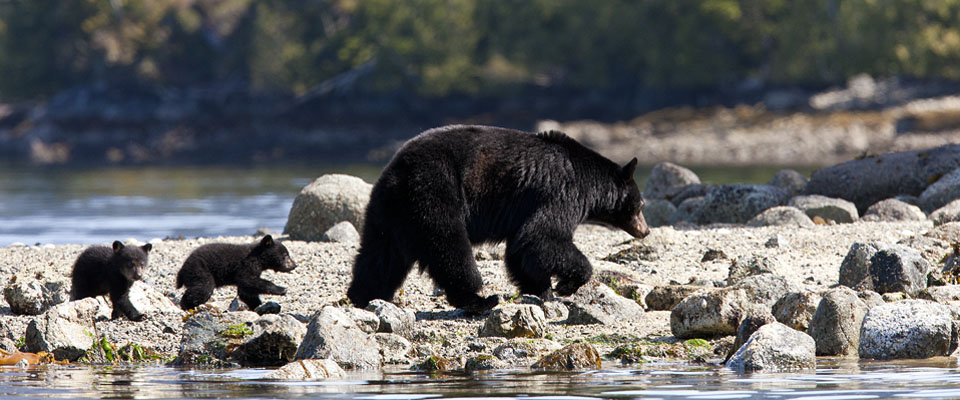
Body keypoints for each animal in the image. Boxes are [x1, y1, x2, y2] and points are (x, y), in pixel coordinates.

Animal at [346, 125, 652, 312]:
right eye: (641, 204)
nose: (646, 231)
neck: (589, 180)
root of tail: (396, 172)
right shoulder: (560, 192)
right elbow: (541, 239)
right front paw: (566, 284)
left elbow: (520, 249)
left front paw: (542, 291)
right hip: (434, 191)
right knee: (450, 247)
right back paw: (479, 299)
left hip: (388, 211)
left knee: (380, 255)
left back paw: (363, 296)